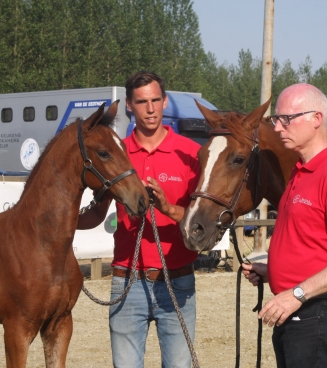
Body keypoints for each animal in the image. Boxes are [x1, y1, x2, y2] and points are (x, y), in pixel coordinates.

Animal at [0, 101, 150, 368]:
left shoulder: (59, 325)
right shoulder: (16, 331)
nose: (142, 199)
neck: (39, 244)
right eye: (103, 152)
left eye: (124, 147)